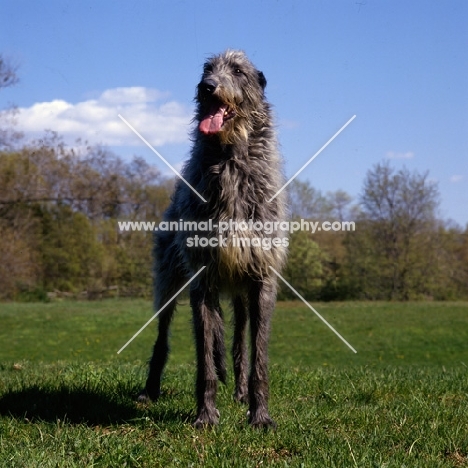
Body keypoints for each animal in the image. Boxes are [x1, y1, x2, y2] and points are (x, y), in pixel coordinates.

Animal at [137, 48, 288, 428]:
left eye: (238, 71)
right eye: (206, 68)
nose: (206, 87)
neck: (230, 156)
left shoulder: (261, 278)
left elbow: (257, 354)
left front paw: (259, 414)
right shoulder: (202, 279)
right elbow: (205, 354)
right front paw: (205, 415)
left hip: (240, 292)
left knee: (238, 341)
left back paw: (240, 392)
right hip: (169, 278)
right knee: (163, 335)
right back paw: (150, 389)